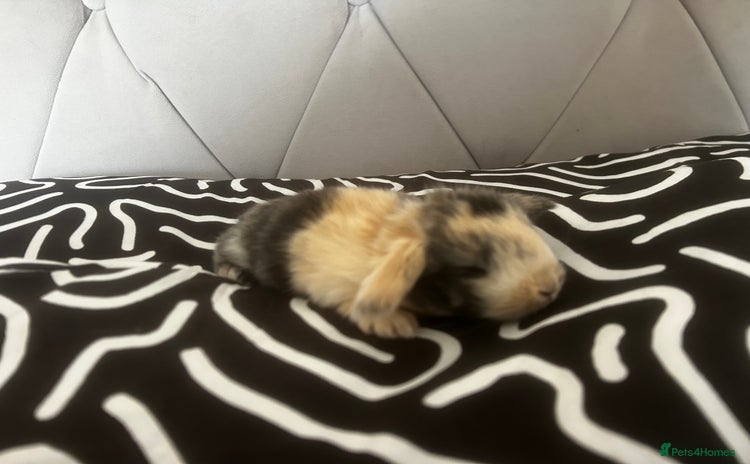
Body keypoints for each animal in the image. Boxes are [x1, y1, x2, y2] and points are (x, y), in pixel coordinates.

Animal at [213, 187, 565, 338]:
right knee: (217, 254)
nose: (552, 286)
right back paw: (236, 274)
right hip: (236, 246)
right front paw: (397, 327)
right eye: (472, 270)